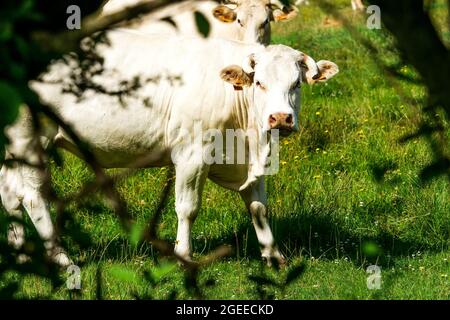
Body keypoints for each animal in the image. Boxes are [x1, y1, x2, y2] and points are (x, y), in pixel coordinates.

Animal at [0, 30, 338, 264]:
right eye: (259, 83)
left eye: (296, 83)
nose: (280, 117)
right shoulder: (192, 154)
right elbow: (187, 208)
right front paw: (184, 254)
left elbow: (258, 206)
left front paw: (273, 256)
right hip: (31, 138)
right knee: (32, 196)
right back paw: (61, 258)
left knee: (9, 193)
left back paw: (20, 255)